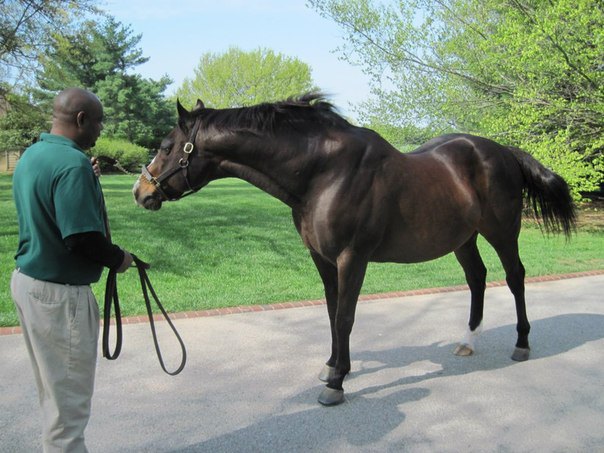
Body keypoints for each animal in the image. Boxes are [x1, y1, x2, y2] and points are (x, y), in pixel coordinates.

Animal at [132, 93, 576, 404]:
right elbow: (331, 313)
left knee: (515, 277)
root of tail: (502, 151)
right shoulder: (322, 258)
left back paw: (521, 344)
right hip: (462, 237)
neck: (325, 173)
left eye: (168, 146)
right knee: (477, 278)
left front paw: (337, 383)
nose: (141, 192)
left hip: (502, 231)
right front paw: (331, 366)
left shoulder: (352, 258)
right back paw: (468, 340)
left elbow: (345, 317)